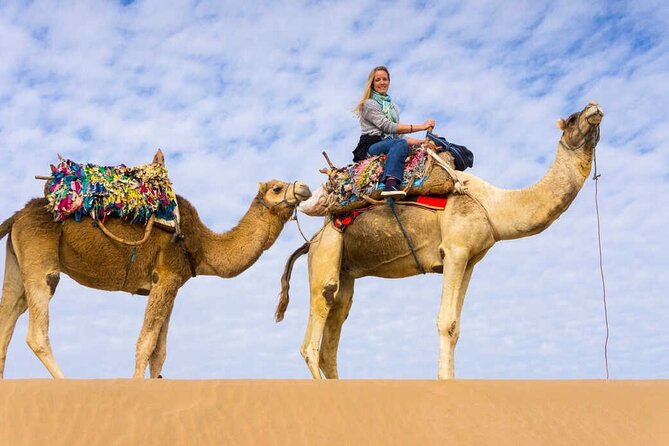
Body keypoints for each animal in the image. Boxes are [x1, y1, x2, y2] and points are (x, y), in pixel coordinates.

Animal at [0, 153, 311, 379]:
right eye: (277, 187)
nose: (305, 187)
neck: (202, 245)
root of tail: (17, 216)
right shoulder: (168, 274)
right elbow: (146, 344)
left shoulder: (168, 283)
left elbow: (159, 353)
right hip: (41, 262)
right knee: (36, 333)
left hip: (17, 262)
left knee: (7, 320)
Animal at [276, 101, 604, 380]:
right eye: (572, 118)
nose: (594, 108)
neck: (492, 206)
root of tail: (311, 241)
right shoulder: (455, 249)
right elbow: (446, 323)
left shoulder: (470, 259)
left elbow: (456, 326)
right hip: (327, 252)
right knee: (313, 337)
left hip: (344, 269)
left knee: (332, 338)